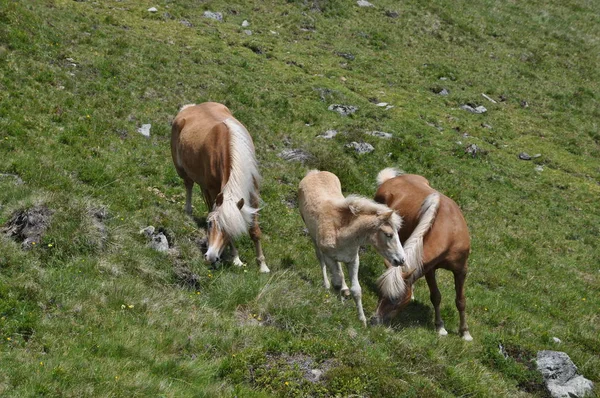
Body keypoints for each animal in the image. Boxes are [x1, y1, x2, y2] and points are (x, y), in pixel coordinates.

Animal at [171, 102, 270, 274]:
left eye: (230, 230)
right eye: (210, 224)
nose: (210, 257)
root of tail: (191, 107)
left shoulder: (253, 193)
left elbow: (255, 230)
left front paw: (263, 266)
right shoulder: (213, 191)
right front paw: (236, 259)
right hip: (182, 170)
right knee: (188, 184)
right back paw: (188, 211)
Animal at [300, 170, 408, 326]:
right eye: (389, 234)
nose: (401, 260)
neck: (342, 233)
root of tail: (315, 172)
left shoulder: (353, 260)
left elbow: (356, 290)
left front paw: (362, 320)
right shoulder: (329, 257)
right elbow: (336, 282)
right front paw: (339, 305)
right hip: (314, 238)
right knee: (321, 260)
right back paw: (326, 284)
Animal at [370, 166, 474, 340]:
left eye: (396, 299)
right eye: (380, 293)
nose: (374, 321)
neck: (450, 231)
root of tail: (390, 180)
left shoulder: (461, 270)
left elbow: (461, 300)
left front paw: (465, 332)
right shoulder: (429, 269)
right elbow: (436, 296)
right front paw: (440, 327)